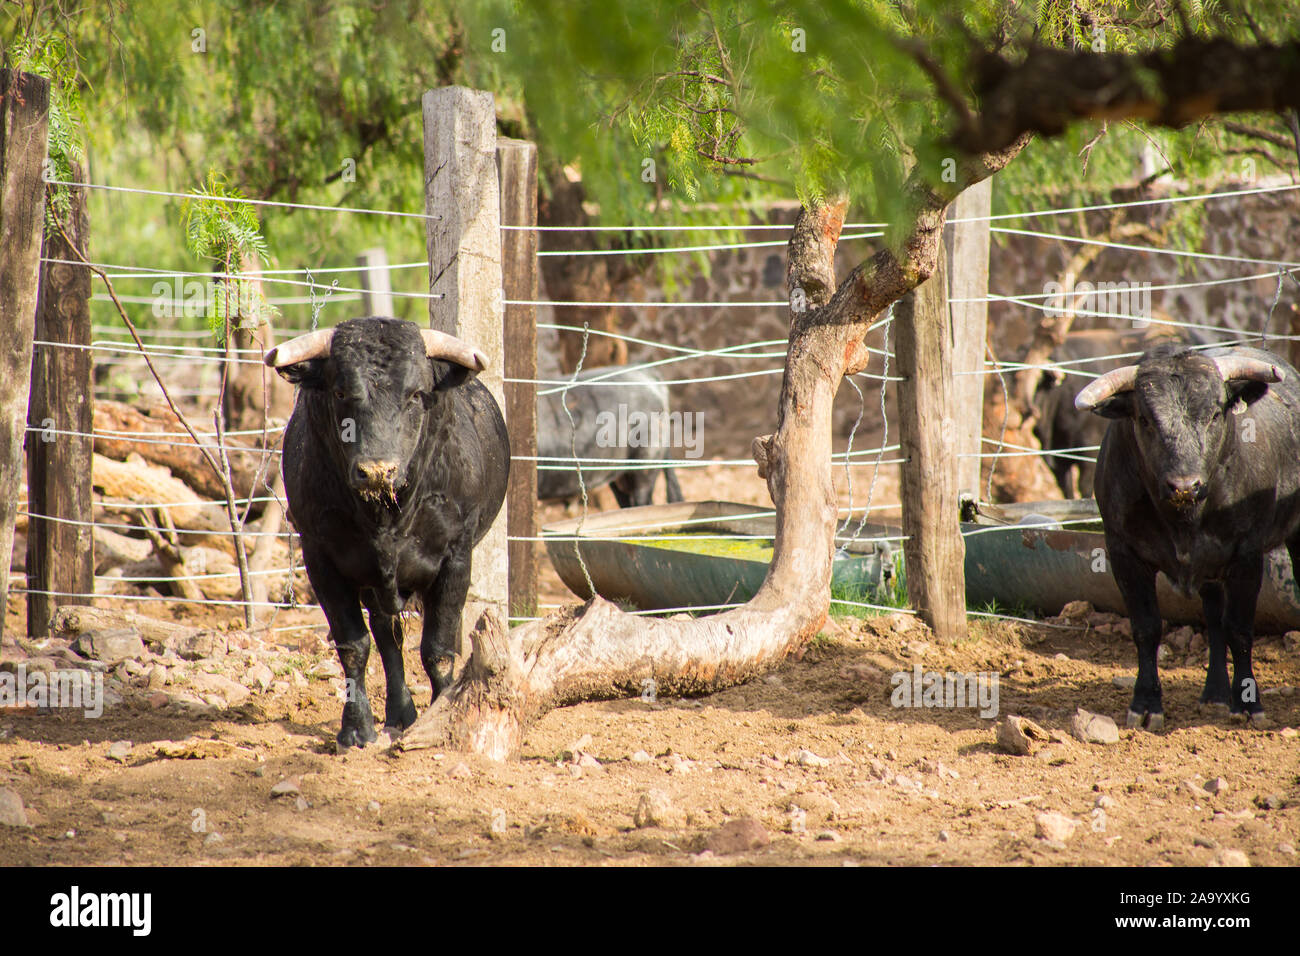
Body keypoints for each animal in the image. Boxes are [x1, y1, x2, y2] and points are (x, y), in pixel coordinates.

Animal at [265, 317, 509, 749]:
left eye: (415, 395)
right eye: (341, 391)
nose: (378, 470)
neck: (385, 516)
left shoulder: (456, 557)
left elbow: (437, 649)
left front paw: (440, 716)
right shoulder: (319, 557)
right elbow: (353, 645)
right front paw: (355, 728)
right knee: (386, 636)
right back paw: (400, 712)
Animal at [1075, 344, 1300, 730]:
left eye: (1214, 414)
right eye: (1145, 420)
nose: (1184, 485)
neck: (1183, 518)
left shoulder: (1247, 555)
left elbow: (1240, 629)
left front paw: (1248, 703)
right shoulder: (1123, 553)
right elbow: (1147, 628)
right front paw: (1145, 703)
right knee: (1213, 616)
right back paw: (1214, 694)